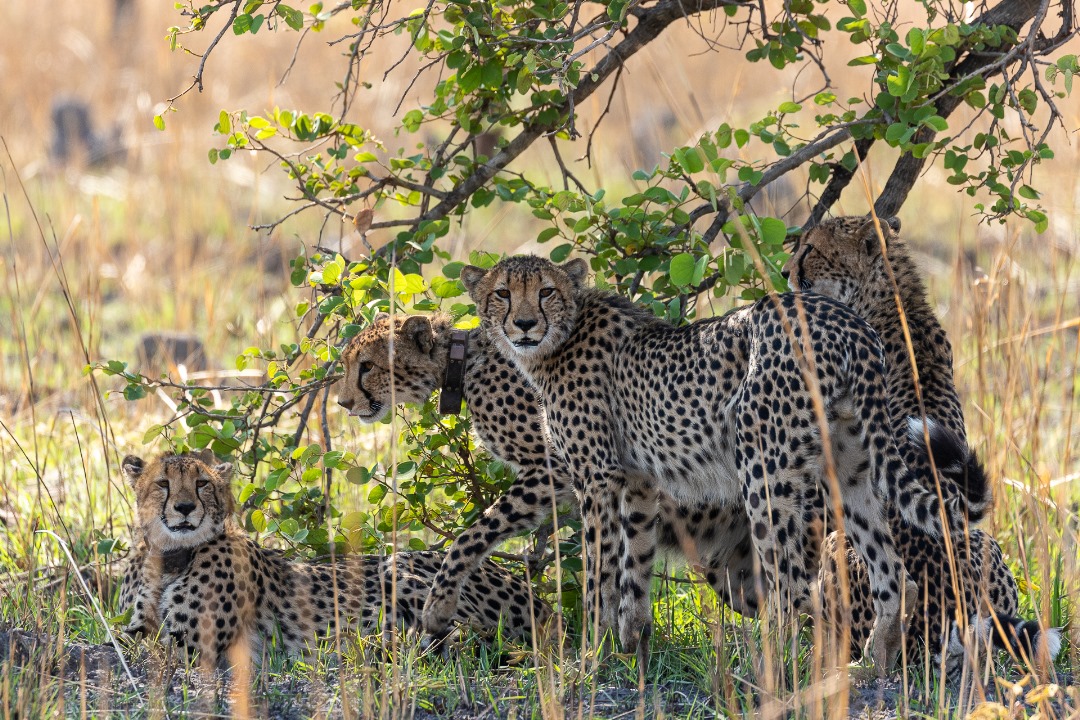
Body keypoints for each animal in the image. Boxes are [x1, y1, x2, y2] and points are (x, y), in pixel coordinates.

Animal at [119, 446, 552, 669]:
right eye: (163, 484)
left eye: (202, 484)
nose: (185, 508)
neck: (171, 557)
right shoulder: (138, 627)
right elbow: (127, 641)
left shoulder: (192, 645)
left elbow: (142, 650)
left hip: (400, 567)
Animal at [336, 313, 760, 651]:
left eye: (367, 366)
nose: (342, 403)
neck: (461, 362)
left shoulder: (554, 468)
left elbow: (471, 536)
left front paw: (438, 607)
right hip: (730, 571)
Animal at [460, 255, 984, 673]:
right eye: (502, 294)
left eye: (545, 292)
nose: (525, 324)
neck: (560, 338)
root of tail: (846, 319)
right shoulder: (638, 483)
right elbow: (634, 569)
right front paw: (630, 651)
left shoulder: (597, 479)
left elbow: (598, 576)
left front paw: (590, 657)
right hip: (850, 465)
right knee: (893, 574)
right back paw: (872, 665)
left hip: (763, 465)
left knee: (789, 586)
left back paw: (771, 669)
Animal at [786, 215, 1062, 669]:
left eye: (811, 249)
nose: (786, 272)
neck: (894, 301)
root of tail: (936, 628)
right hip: (983, 541)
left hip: (841, 550)